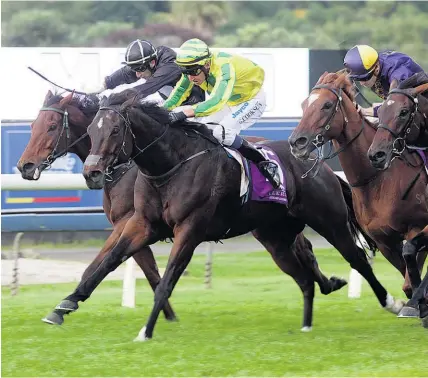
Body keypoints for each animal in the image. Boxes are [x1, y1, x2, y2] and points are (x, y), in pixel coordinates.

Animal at [56, 90, 404, 342]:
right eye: (90, 130)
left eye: (115, 129)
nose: (92, 171)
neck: (171, 165)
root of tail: (321, 167)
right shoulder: (143, 224)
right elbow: (109, 261)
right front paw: (65, 304)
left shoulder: (190, 230)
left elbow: (166, 281)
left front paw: (146, 331)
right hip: (276, 239)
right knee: (304, 276)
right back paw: (307, 324)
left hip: (330, 221)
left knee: (357, 259)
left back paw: (393, 302)